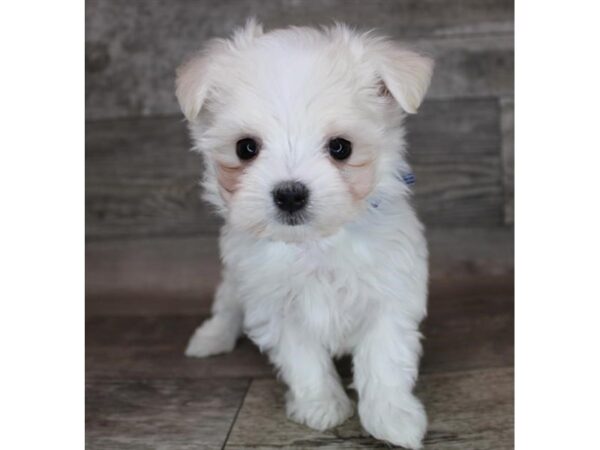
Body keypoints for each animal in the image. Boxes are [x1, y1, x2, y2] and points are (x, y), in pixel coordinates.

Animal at [176, 21, 434, 450]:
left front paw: (392, 418)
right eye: (246, 148)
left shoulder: (390, 292)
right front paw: (322, 406)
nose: (290, 194)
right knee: (227, 306)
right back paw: (212, 338)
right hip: (234, 280)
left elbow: (383, 357)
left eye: (341, 148)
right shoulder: (275, 306)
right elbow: (303, 359)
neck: (314, 243)